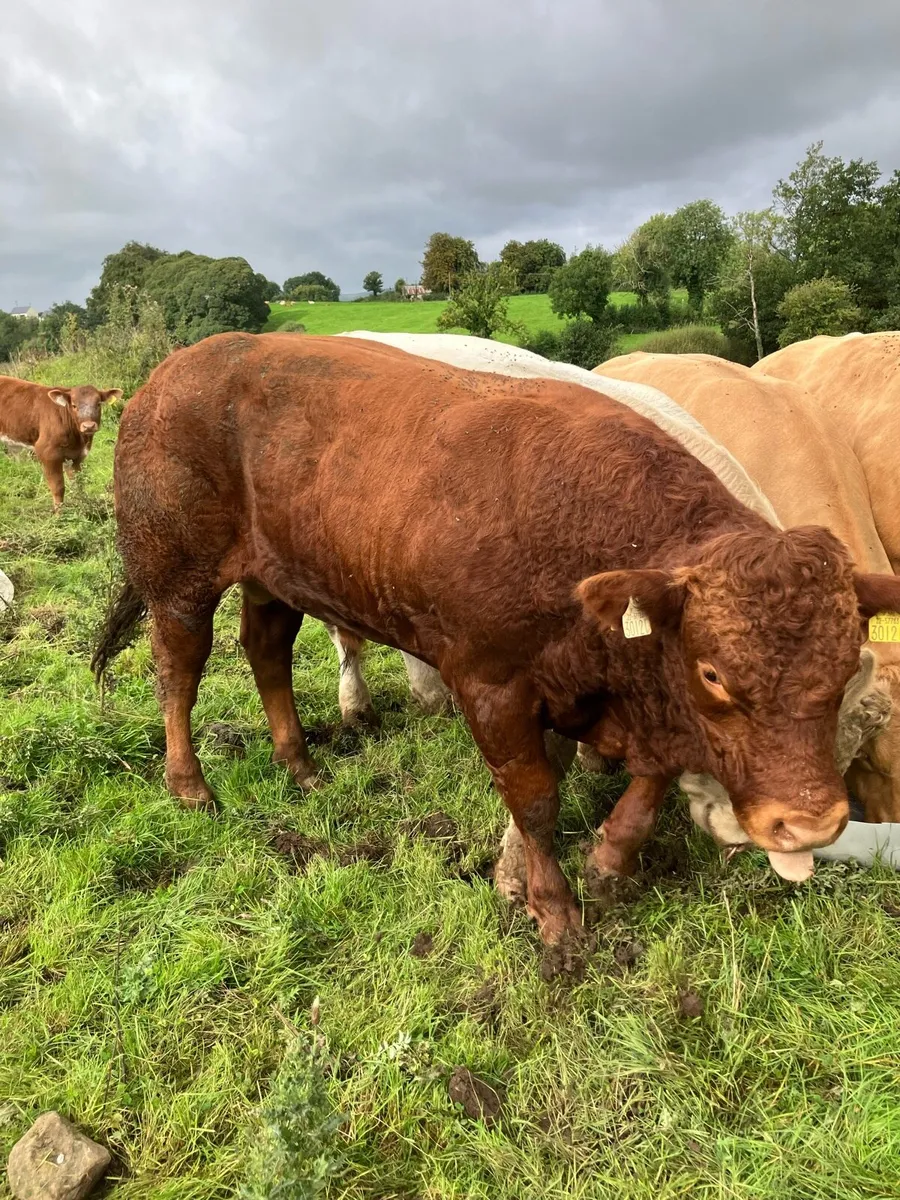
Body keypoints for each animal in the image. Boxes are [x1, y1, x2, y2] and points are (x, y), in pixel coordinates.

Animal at [0, 375, 122, 509]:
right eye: (74, 405)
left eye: (98, 404)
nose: (88, 426)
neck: (77, 440)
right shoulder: (47, 454)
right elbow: (58, 488)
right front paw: (59, 513)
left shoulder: (76, 457)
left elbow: (77, 485)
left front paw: (81, 507)